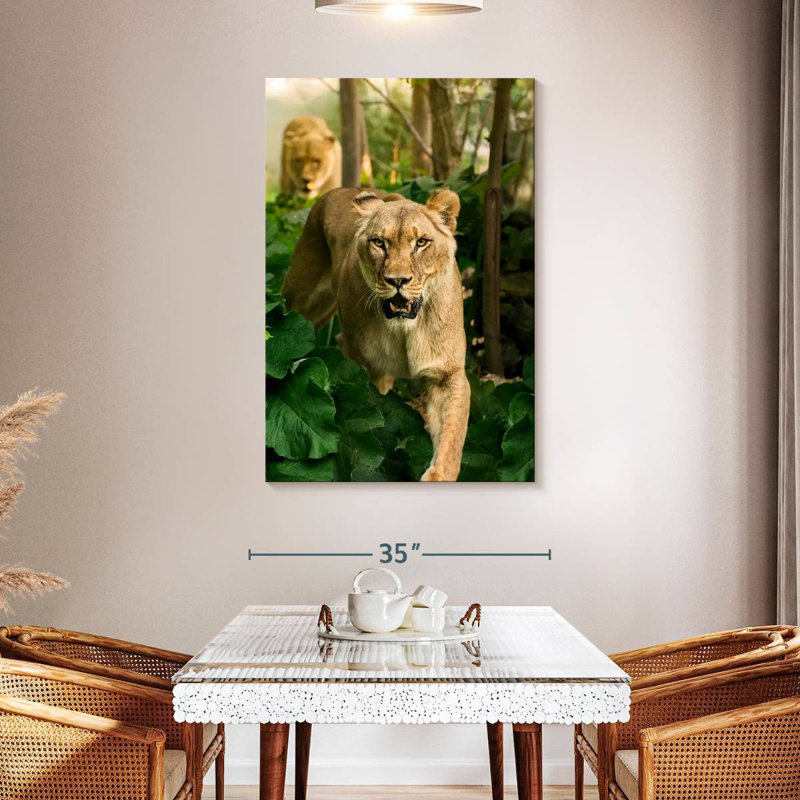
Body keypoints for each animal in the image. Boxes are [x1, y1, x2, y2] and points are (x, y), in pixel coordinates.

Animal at [282, 187, 469, 482]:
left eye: (421, 242)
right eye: (379, 243)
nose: (398, 281)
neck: (406, 328)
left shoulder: (447, 373)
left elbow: (452, 434)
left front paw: (438, 476)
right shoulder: (371, 369)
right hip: (304, 301)